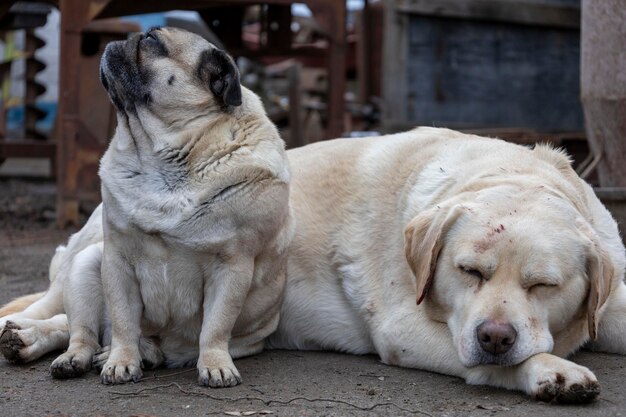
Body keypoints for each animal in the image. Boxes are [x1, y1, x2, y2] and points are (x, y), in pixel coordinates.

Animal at [0, 27, 294, 386]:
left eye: (152, 41)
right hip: (85, 267)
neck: (164, 157)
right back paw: (72, 356)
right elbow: (124, 322)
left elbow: (215, 327)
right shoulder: (118, 262)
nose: (123, 37)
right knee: (81, 331)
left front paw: (215, 364)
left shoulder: (232, 268)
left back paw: (140, 353)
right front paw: (121, 362)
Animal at [266, 127, 624, 404]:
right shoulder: (401, 328)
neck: (514, 173)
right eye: (470, 271)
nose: (494, 337)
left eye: (543, 285)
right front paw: (552, 369)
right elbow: (501, 363)